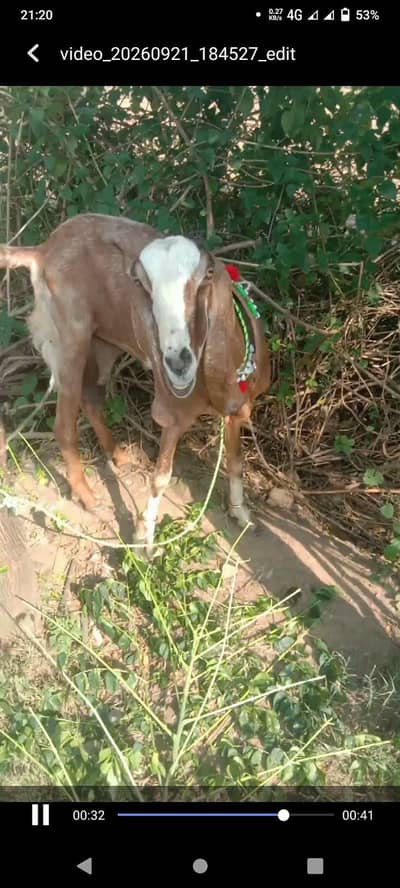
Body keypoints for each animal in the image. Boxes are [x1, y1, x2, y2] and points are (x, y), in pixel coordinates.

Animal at [0, 214, 271, 555]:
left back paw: (117, 454)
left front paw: (241, 514)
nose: (177, 361)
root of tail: (43, 250)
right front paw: (144, 540)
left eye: (207, 275)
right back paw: (87, 495)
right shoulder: (172, 413)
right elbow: (161, 477)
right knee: (64, 423)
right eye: (140, 283)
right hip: (70, 337)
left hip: (103, 343)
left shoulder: (241, 405)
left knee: (91, 398)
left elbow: (235, 462)